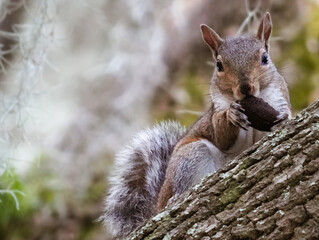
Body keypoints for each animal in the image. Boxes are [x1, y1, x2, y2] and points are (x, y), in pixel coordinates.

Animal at [100, 12, 292, 238]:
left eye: (265, 58)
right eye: (219, 65)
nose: (245, 88)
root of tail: (157, 205)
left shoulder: (278, 100)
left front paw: (282, 120)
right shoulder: (214, 118)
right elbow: (221, 135)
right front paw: (232, 115)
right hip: (191, 154)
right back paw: (174, 199)